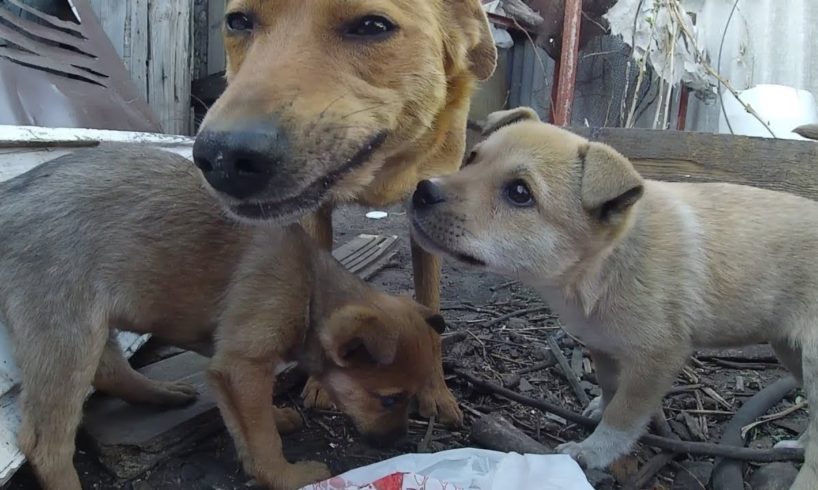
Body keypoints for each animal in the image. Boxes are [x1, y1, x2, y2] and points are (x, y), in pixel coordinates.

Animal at [0, 145, 446, 490]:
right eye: (388, 399)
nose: (398, 443)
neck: (309, 289)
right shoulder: (241, 365)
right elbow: (261, 438)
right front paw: (285, 475)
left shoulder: (230, 368)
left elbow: (249, 420)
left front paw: (275, 422)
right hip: (67, 329)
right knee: (46, 443)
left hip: (90, 319)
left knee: (109, 369)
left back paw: (163, 394)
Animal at [191, 0, 498, 424]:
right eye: (238, 21)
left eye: (373, 26)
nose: (223, 160)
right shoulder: (314, 215)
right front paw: (323, 385)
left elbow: (431, 306)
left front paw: (435, 392)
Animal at [406, 108, 816, 490]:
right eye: (472, 158)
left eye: (520, 193)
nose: (422, 190)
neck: (607, 263)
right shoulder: (602, 343)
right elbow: (609, 387)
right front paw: (598, 411)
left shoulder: (658, 357)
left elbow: (624, 414)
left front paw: (592, 451)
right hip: (789, 351)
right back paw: (797, 445)